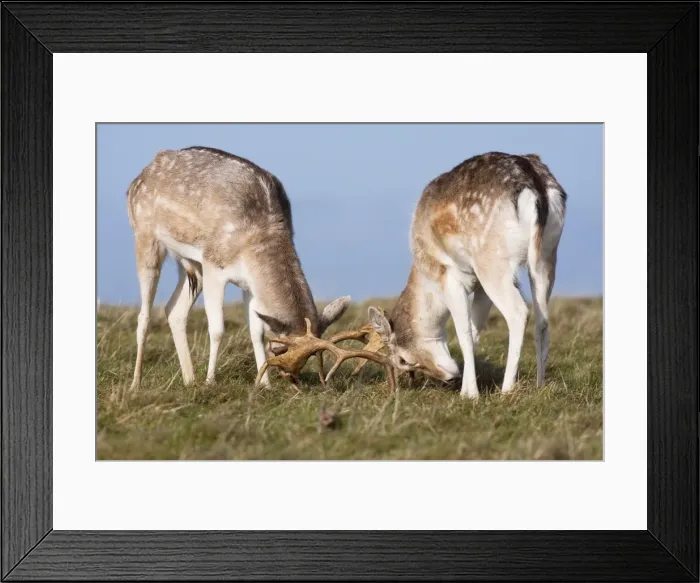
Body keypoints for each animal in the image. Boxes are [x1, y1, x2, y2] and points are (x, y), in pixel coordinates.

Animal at [126, 146, 351, 391]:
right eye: (281, 348)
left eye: (310, 357)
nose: (291, 379)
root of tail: (136, 180)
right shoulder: (213, 264)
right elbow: (217, 329)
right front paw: (210, 381)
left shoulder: (248, 284)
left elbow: (256, 332)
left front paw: (263, 384)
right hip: (146, 238)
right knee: (144, 316)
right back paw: (136, 383)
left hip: (192, 265)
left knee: (174, 309)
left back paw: (189, 379)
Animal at [367, 152, 566, 399]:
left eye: (403, 360)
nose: (449, 378)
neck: (425, 275)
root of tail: (533, 182)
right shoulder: (479, 286)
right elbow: (474, 330)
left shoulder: (449, 276)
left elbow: (463, 332)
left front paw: (469, 394)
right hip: (547, 255)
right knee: (543, 319)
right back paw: (540, 386)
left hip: (492, 262)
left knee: (519, 312)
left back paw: (507, 390)